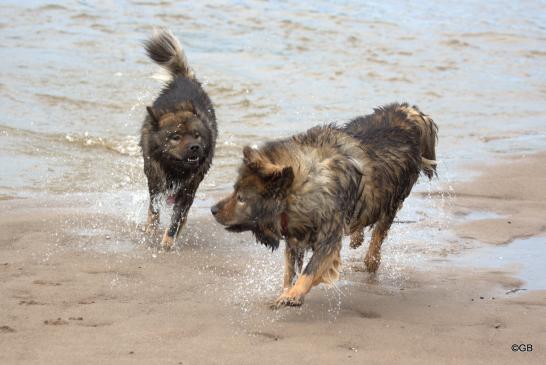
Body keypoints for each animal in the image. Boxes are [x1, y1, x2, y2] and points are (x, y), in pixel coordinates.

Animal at [139, 29, 216, 249]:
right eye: (176, 137)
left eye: (197, 135)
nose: (195, 147)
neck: (175, 168)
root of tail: (184, 78)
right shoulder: (155, 181)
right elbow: (154, 209)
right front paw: (151, 230)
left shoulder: (188, 189)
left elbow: (177, 217)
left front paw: (167, 241)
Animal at [210, 102, 436, 308]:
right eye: (234, 190)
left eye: (241, 197)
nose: (212, 210)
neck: (307, 184)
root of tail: (408, 111)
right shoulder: (294, 237)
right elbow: (289, 271)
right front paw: (285, 291)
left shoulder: (329, 239)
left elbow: (310, 270)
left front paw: (293, 295)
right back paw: (357, 237)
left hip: (393, 197)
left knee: (380, 230)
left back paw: (371, 258)